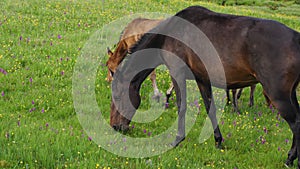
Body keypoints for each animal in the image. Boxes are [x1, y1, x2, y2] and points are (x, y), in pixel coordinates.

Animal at [110, 5, 300, 168]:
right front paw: (218, 141)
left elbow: (181, 106)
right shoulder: (202, 79)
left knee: (296, 123)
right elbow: (210, 109)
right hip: (290, 93)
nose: (115, 127)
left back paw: (290, 159)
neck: (168, 35)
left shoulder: (177, 72)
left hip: (278, 94)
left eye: (117, 97)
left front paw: (177, 140)